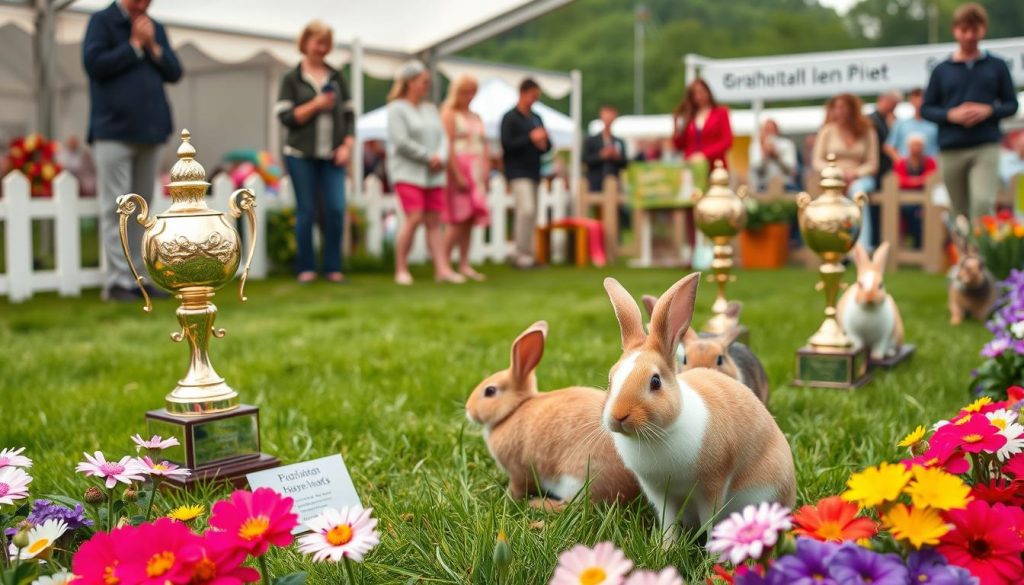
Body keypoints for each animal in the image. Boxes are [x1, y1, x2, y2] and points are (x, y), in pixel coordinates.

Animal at [466, 319, 638, 508]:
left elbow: (517, 488)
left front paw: (508, 498)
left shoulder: (518, 471)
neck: (512, 410)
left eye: (489, 391)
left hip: (579, 479)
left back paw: (538, 504)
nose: (468, 409)